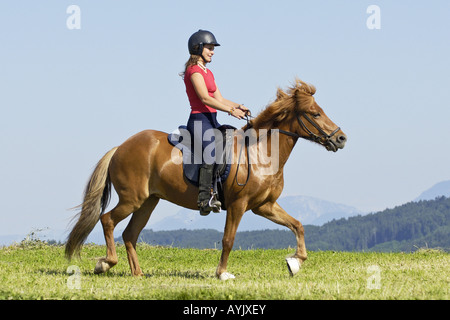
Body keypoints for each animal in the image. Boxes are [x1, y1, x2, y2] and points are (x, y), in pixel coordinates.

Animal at [65, 79, 348, 278]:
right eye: (314, 113)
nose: (341, 138)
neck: (261, 153)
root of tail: (120, 147)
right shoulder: (238, 205)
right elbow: (228, 240)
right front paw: (222, 274)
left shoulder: (264, 206)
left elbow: (298, 225)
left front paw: (295, 262)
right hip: (132, 199)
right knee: (107, 220)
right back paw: (105, 264)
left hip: (148, 202)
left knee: (129, 234)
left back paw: (138, 273)